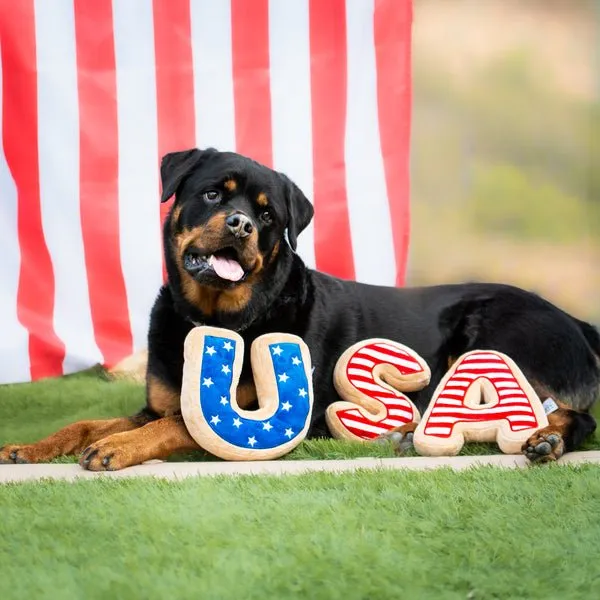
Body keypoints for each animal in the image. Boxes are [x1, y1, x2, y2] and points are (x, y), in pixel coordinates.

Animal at [2, 146, 596, 468]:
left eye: (267, 216)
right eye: (214, 194)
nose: (241, 225)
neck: (218, 316)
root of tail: (573, 318)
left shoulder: (265, 421)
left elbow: (179, 428)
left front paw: (118, 448)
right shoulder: (156, 404)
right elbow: (86, 422)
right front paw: (30, 447)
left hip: (492, 336)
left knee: (567, 415)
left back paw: (546, 440)